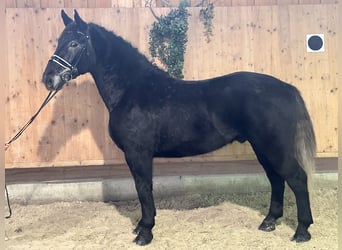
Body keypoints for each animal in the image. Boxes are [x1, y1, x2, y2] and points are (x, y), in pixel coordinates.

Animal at [42, 10, 316, 246]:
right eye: (59, 41)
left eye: (74, 43)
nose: (49, 79)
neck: (131, 89)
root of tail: (287, 89)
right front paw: (141, 226)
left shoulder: (138, 153)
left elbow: (143, 188)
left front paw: (145, 232)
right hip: (262, 147)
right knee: (276, 178)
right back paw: (269, 222)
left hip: (274, 147)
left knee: (297, 178)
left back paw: (302, 231)